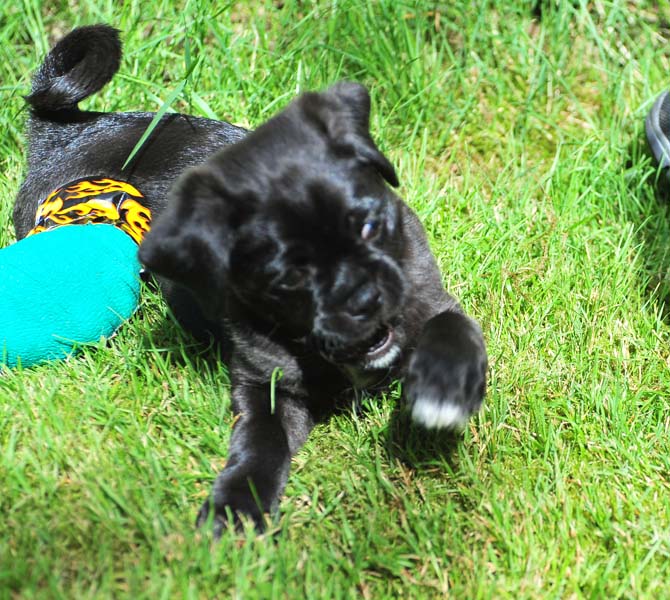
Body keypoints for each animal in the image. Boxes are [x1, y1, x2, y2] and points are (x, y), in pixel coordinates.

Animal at [14, 24, 488, 535]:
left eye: (368, 226)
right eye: (289, 275)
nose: (365, 299)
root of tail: (63, 130)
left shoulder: (428, 297)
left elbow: (452, 329)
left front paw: (444, 385)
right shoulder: (265, 387)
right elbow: (260, 443)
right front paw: (237, 503)